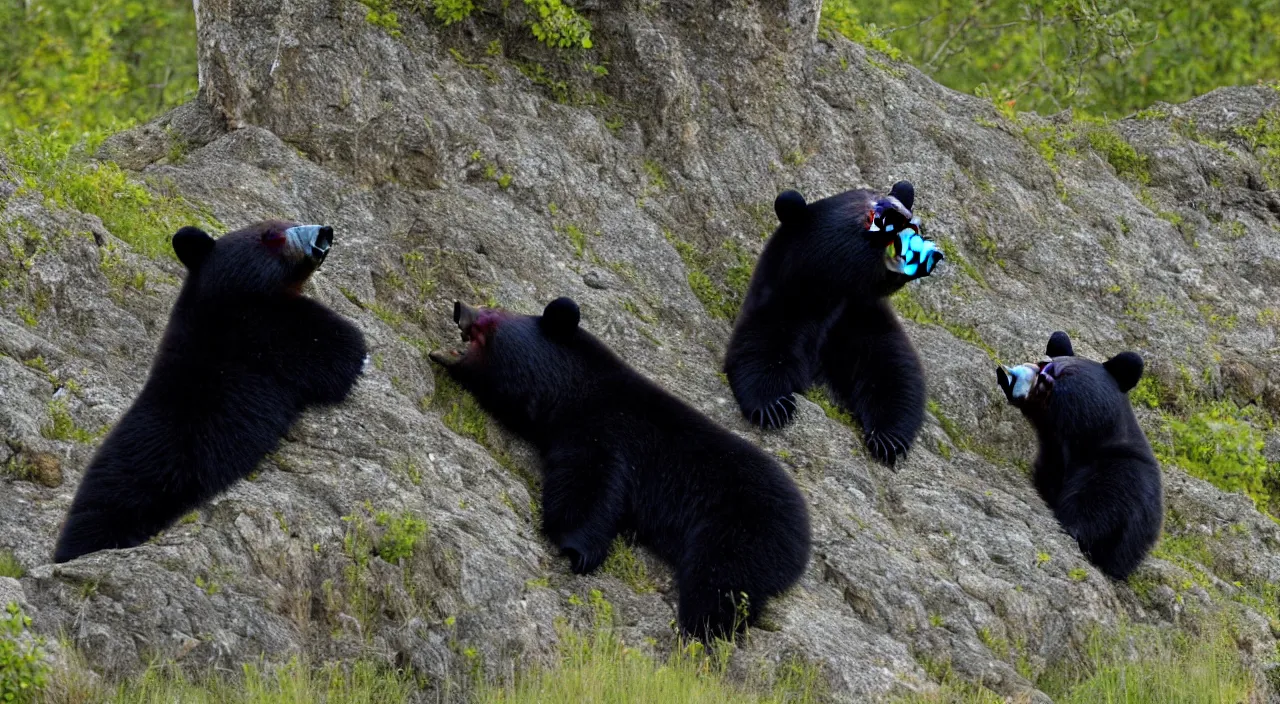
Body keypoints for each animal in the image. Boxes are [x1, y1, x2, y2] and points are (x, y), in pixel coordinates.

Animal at [430, 298, 808, 640]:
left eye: (491, 314)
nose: (461, 307)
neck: (570, 389)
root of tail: (805, 540)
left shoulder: (608, 430)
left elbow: (591, 484)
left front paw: (575, 548)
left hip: (743, 529)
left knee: (720, 581)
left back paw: (701, 629)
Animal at [727, 181, 947, 468]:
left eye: (910, 216)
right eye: (871, 217)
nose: (911, 230)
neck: (833, 294)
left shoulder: (859, 315)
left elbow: (894, 371)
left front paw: (887, 438)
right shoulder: (784, 302)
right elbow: (760, 347)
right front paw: (774, 406)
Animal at [993, 332, 1167, 581]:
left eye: (1063, 372)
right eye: (1041, 363)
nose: (1041, 369)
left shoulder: (1119, 472)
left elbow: (1098, 509)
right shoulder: (1051, 461)